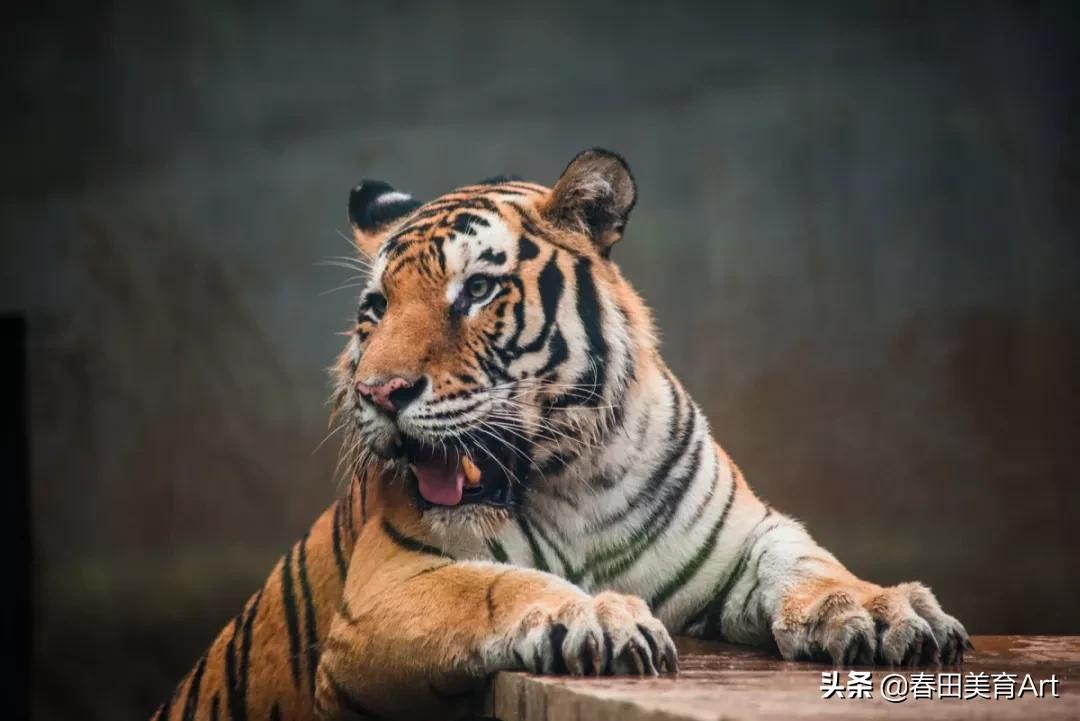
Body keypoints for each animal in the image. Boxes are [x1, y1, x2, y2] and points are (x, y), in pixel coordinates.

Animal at [152, 149, 970, 721]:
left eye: (477, 290)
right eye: (375, 309)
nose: (378, 393)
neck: (578, 478)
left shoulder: (745, 536)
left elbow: (810, 564)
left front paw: (879, 610)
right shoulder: (388, 586)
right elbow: (494, 584)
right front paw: (596, 613)